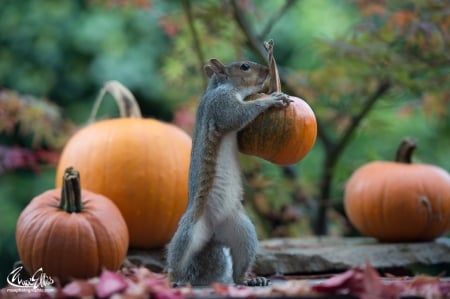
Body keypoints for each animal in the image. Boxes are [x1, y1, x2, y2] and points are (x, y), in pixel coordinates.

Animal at [167, 58, 290, 286]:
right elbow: (237, 115)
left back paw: (250, 280)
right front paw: (271, 99)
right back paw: (174, 279)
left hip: (243, 231)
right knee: (177, 256)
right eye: (244, 67)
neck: (221, 86)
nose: (267, 71)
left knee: (239, 268)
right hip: (190, 230)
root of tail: (212, 236)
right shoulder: (221, 105)